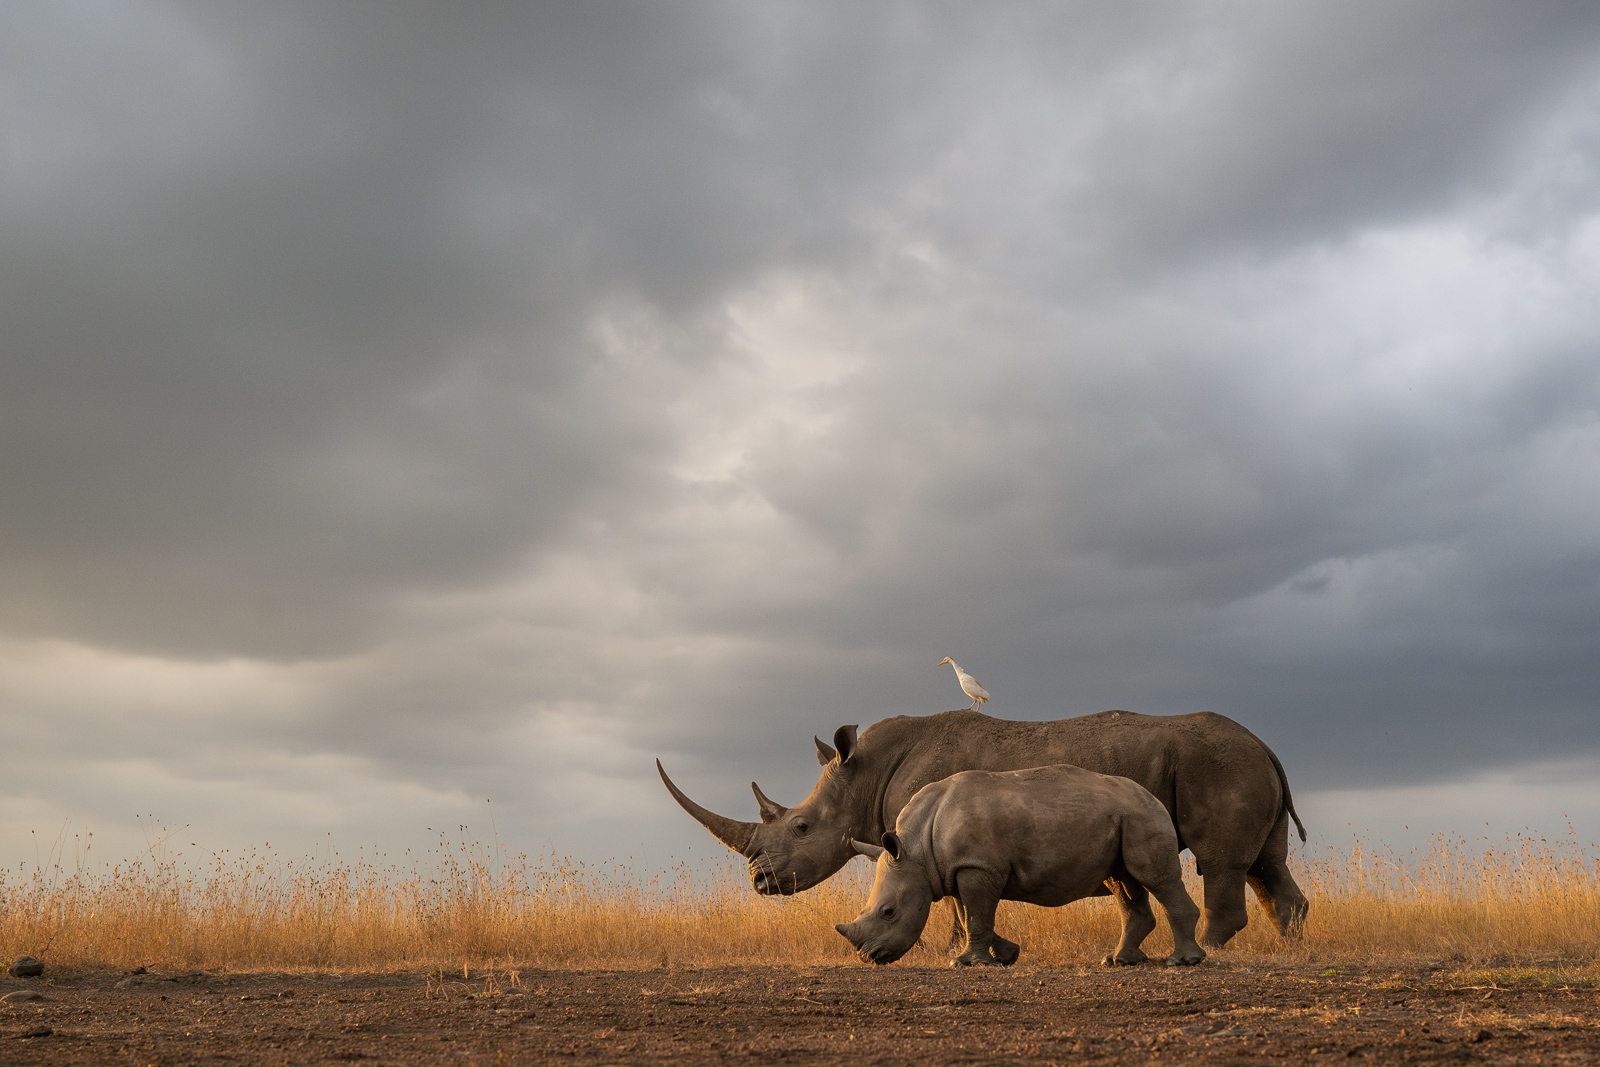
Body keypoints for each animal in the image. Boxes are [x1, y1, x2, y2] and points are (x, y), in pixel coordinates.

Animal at [658, 709, 1307, 947]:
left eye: (800, 827)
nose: (759, 881)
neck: (862, 774)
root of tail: (1268, 745)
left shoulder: (937, 839)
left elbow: (952, 901)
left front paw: (951, 950)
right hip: (1246, 765)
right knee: (1267, 866)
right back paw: (1286, 948)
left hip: (1221, 766)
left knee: (1222, 863)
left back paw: (1214, 950)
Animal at [835, 764, 1206, 968]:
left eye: (888, 912)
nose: (868, 957)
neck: (916, 850)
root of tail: (1153, 796)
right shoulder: (959, 868)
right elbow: (972, 917)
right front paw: (1007, 956)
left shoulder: (977, 867)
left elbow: (976, 916)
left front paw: (966, 964)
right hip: (1125, 817)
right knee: (1124, 883)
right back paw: (1118, 961)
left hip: (1142, 815)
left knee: (1155, 878)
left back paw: (1183, 961)